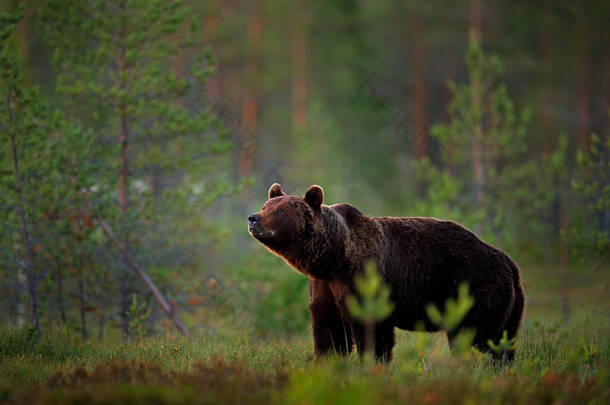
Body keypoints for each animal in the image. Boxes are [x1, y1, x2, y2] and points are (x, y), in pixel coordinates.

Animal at [247, 182, 524, 360]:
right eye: (265, 204)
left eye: (279, 210)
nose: (253, 218)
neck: (335, 256)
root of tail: (511, 263)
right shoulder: (324, 285)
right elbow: (329, 327)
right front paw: (328, 360)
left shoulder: (364, 277)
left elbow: (372, 327)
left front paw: (372, 362)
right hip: (510, 306)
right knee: (504, 341)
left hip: (475, 289)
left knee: (476, 337)